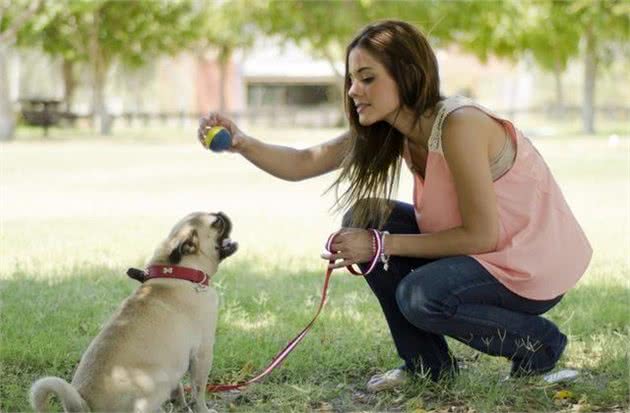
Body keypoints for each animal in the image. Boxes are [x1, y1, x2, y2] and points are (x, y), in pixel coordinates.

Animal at [29, 211, 239, 410]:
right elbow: (199, 391)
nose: (223, 213)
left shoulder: (178, 360)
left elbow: (180, 388)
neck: (182, 272)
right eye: (217, 222)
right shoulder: (202, 353)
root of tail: (84, 406)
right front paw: (202, 408)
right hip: (158, 378)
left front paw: (182, 404)